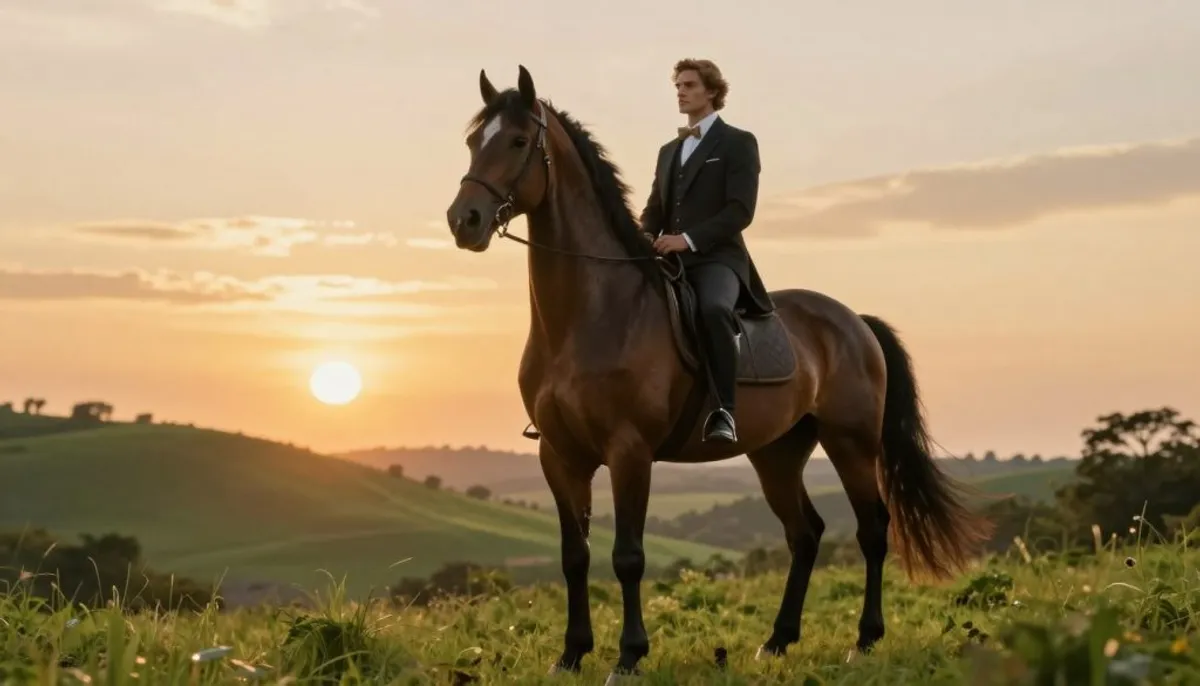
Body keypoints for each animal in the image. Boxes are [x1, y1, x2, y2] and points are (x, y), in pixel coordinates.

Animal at [444, 65, 992, 681]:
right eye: (474, 141)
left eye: (518, 142)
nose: (463, 221)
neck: (589, 314)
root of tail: (855, 321)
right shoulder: (559, 455)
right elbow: (574, 556)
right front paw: (571, 655)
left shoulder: (629, 451)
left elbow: (627, 557)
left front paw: (628, 657)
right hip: (777, 452)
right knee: (805, 534)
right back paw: (777, 641)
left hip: (851, 442)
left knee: (873, 531)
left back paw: (865, 640)